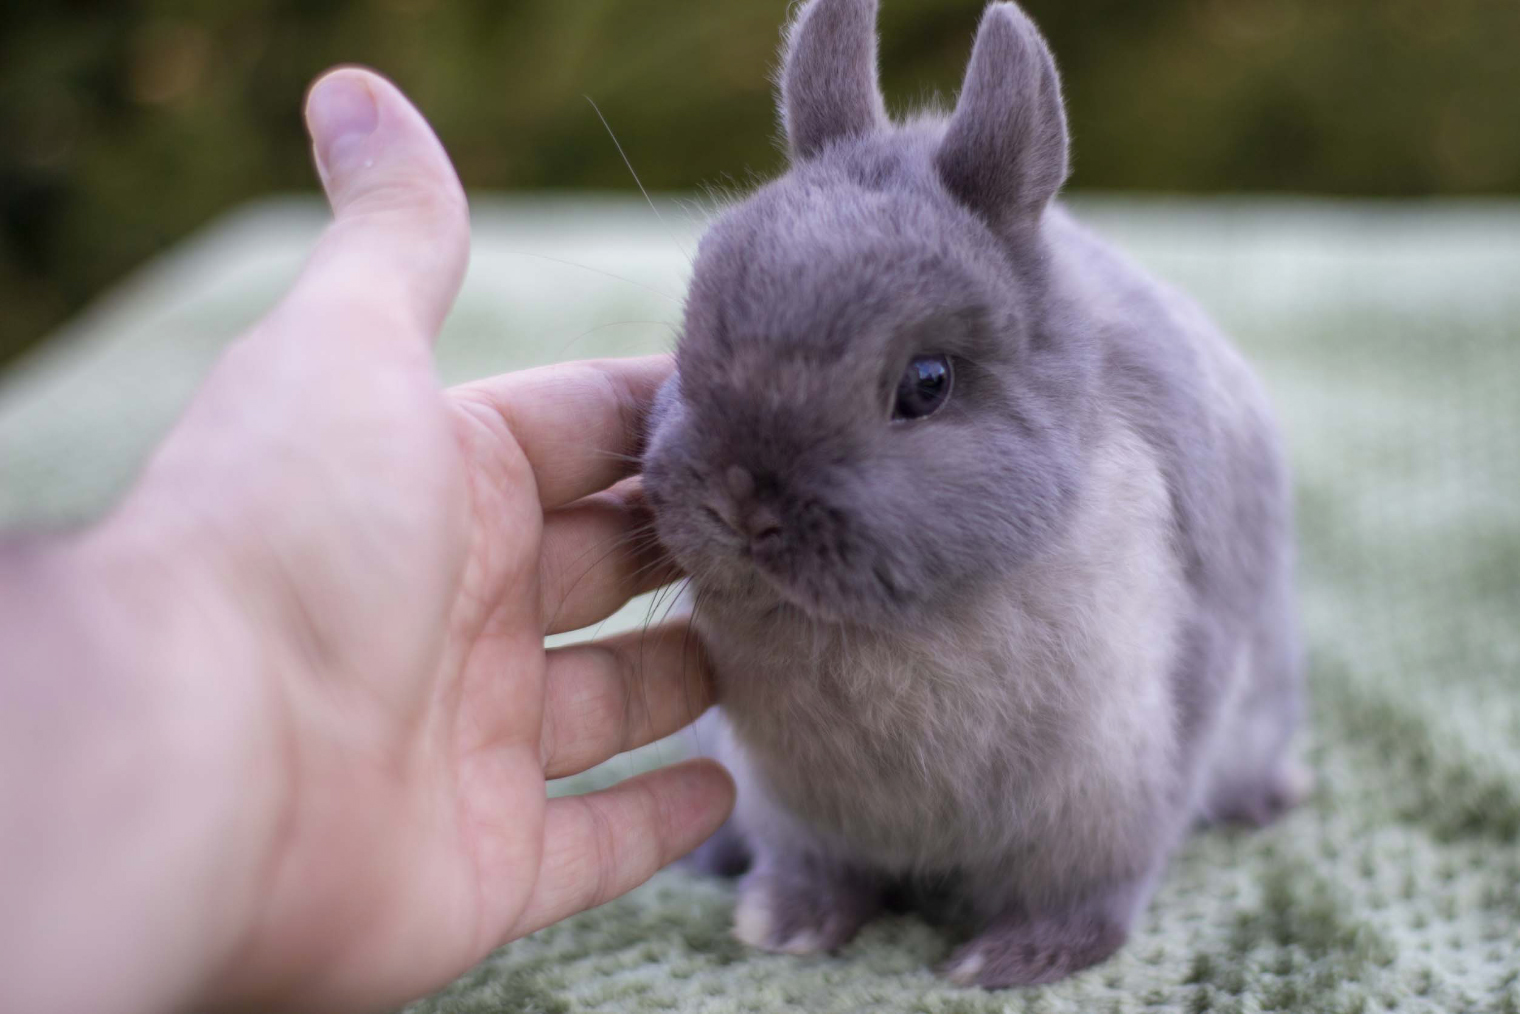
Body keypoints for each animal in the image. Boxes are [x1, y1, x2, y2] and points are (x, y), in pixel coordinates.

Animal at [641, 0, 1307, 985]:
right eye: (688, 336)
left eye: (927, 383)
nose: (741, 507)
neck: (884, 627)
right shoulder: (790, 808)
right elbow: (814, 869)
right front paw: (787, 925)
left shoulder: (1120, 786)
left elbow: (1092, 894)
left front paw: (1011, 961)